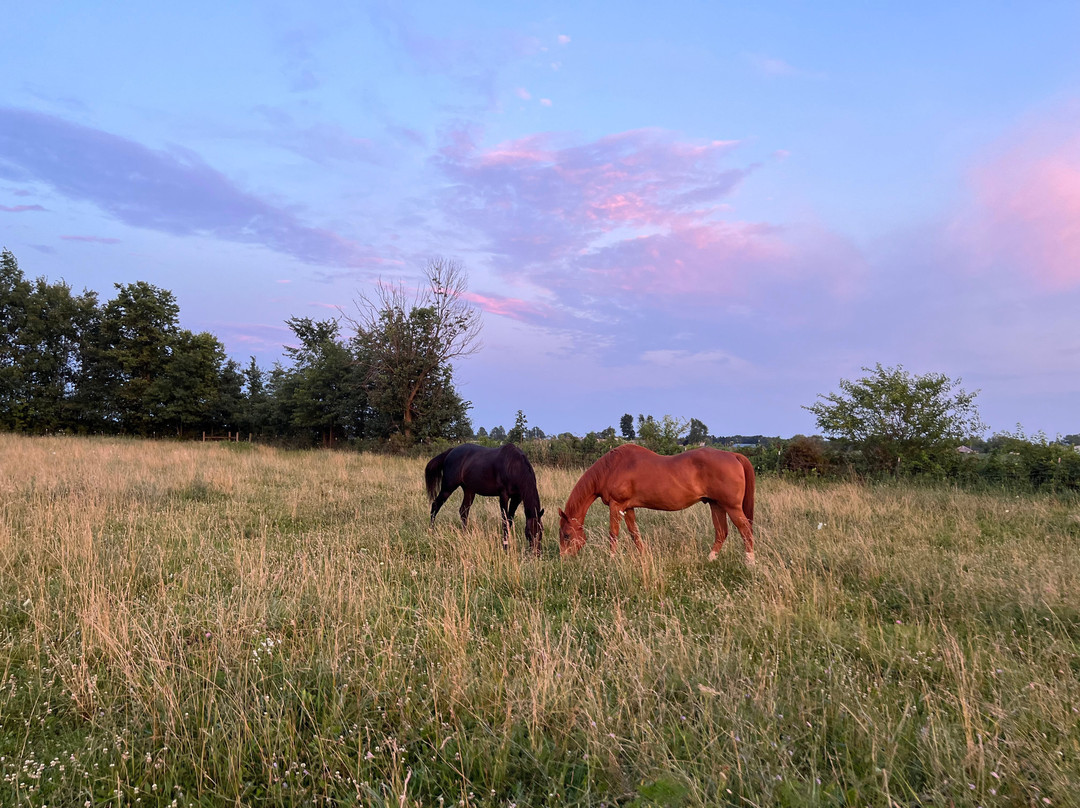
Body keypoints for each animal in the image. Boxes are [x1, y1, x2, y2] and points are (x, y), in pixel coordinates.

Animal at [557, 444, 755, 563]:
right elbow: (635, 534)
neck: (611, 468)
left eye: (567, 535)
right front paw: (643, 556)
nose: (563, 560)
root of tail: (733, 455)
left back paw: (749, 562)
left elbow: (613, 534)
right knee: (721, 532)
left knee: (745, 531)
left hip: (732, 507)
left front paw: (611, 559)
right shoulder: (628, 508)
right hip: (716, 505)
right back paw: (710, 559)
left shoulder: (616, 505)